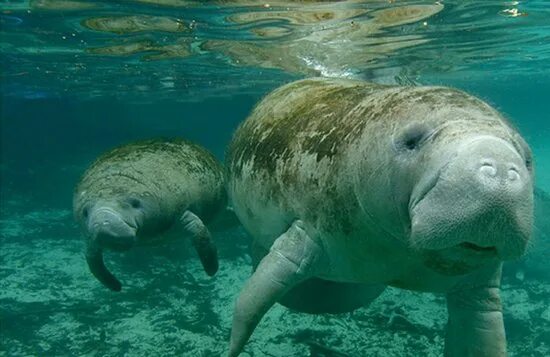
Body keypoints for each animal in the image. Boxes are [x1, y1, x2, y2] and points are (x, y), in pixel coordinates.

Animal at [75, 138, 226, 290]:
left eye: (135, 203)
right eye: (85, 212)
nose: (103, 223)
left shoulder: (183, 211)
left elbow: (201, 234)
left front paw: (212, 270)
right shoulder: (89, 237)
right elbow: (93, 262)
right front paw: (115, 286)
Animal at [225, 78, 544, 356]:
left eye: (528, 158)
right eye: (412, 141)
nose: (499, 168)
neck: (403, 248)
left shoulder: (480, 288)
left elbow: (481, 333)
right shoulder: (307, 233)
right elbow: (251, 302)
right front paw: (232, 349)